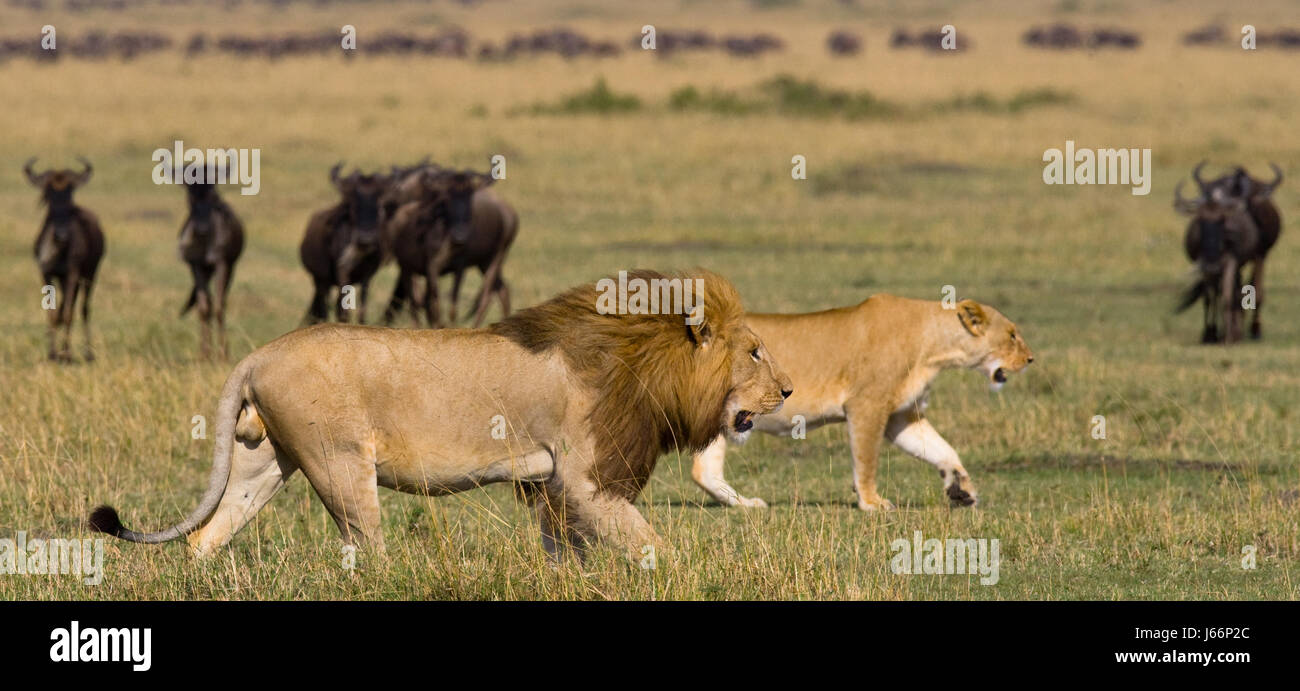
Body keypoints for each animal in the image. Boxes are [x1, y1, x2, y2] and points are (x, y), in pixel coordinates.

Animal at [89, 269, 792, 562]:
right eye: (755, 351)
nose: (787, 391)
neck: (642, 360)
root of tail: (258, 354)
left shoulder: (553, 483)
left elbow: (567, 552)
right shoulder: (584, 475)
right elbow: (653, 546)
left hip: (265, 459)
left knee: (207, 536)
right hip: (340, 464)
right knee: (364, 550)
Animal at [691, 295, 1032, 511]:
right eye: (1012, 335)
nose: (1030, 359)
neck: (933, 347)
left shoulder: (902, 416)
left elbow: (942, 449)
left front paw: (961, 489)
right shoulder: (867, 405)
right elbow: (866, 460)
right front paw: (871, 503)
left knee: (704, 471)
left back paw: (745, 504)